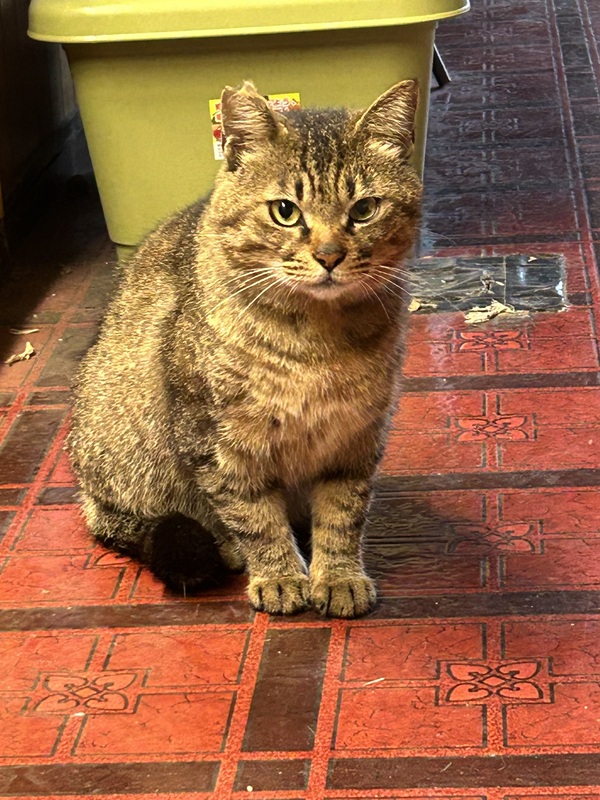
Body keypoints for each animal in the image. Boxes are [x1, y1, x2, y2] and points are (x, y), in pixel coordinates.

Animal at [69, 79, 422, 618]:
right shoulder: (218, 441)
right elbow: (254, 516)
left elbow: (343, 515)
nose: (329, 256)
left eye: (364, 210)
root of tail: (88, 493)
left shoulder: (356, 436)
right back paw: (229, 549)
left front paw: (338, 576)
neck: (317, 340)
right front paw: (279, 576)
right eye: (285, 212)